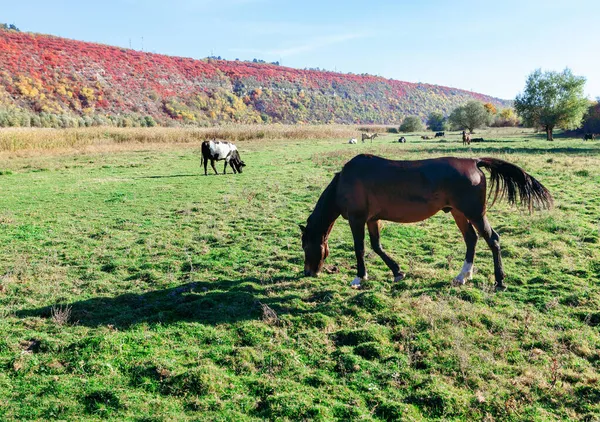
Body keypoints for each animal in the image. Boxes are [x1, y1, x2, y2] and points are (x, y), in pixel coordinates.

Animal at [300, 154, 552, 290]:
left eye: (305, 246)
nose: (308, 272)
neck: (345, 181)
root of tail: (474, 162)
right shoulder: (373, 220)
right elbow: (376, 246)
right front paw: (397, 271)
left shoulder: (357, 219)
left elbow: (360, 248)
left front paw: (359, 277)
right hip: (458, 213)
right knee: (471, 239)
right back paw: (463, 276)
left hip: (474, 213)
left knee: (492, 240)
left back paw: (499, 281)